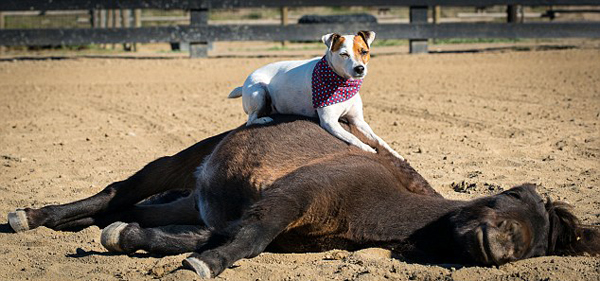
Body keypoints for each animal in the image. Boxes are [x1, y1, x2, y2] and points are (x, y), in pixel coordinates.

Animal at [5, 115, 600, 276]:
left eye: (535, 246)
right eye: (511, 198)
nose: (500, 246)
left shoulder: (270, 224)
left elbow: (189, 238)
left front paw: (129, 241)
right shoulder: (290, 201)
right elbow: (244, 240)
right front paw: (207, 265)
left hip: (191, 196)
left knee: (127, 206)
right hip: (180, 163)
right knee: (117, 189)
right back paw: (32, 215)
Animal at [227, 30, 406, 160]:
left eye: (364, 51)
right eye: (344, 54)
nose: (360, 69)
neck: (342, 84)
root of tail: (245, 84)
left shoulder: (358, 121)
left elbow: (379, 139)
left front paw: (395, 153)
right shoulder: (330, 122)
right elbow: (354, 139)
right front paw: (369, 149)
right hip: (259, 91)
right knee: (250, 120)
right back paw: (263, 119)